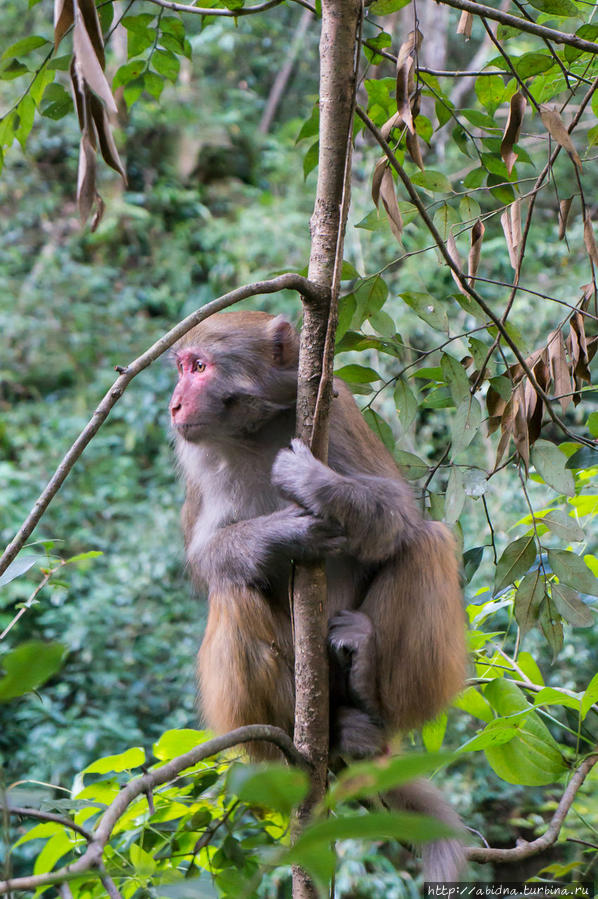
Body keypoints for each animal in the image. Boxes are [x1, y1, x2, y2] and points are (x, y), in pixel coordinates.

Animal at [169, 310, 468, 880]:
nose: (173, 404)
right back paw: (310, 734)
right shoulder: (197, 457)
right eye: (183, 367)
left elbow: (397, 512)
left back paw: (367, 697)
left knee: (427, 541)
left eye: (199, 367)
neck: (255, 429)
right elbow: (206, 558)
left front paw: (315, 483)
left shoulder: (339, 407)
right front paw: (284, 533)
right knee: (234, 590)